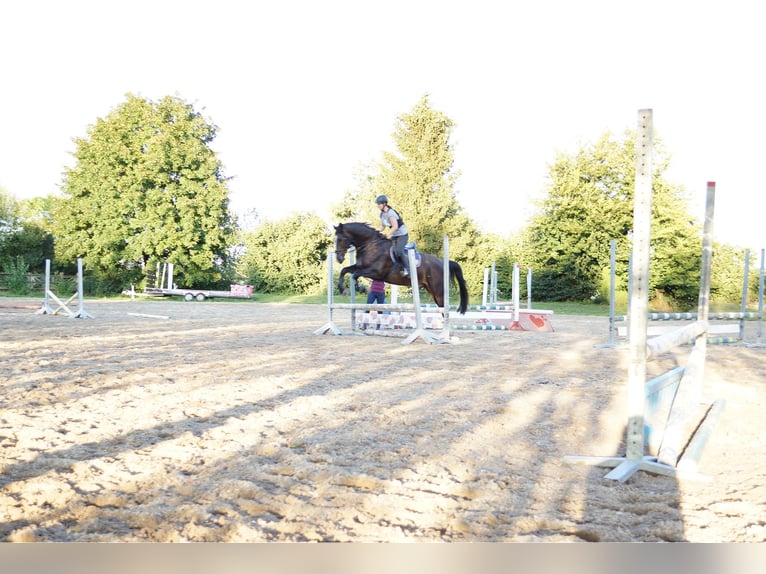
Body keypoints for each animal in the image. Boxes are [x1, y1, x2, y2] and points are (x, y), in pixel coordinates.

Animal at [334, 224, 472, 316]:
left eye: (340, 239)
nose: (339, 258)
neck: (372, 245)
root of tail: (443, 262)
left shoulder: (376, 272)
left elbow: (355, 275)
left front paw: (361, 288)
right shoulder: (360, 267)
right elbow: (345, 271)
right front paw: (342, 289)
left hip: (438, 291)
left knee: (444, 308)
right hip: (431, 290)